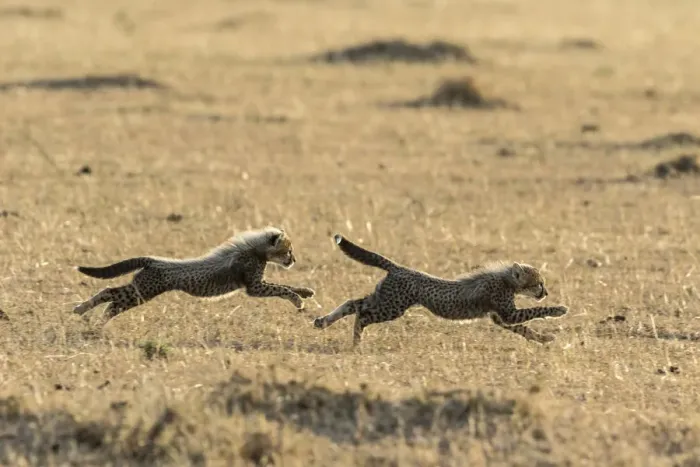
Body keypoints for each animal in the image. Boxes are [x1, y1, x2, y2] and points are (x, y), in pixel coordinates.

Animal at [73, 226, 315, 324]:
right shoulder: (255, 287)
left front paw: (306, 292)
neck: (257, 250)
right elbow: (281, 288)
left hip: (138, 293)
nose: (294, 260)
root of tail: (152, 259)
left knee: (113, 304)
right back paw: (81, 309)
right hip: (141, 291)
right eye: (288, 251)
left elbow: (288, 285)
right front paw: (297, 300)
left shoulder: (259, 283)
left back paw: (98, 325)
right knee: (109, 293)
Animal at [313, 234, 568, 346]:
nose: (545, 292)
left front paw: (543, 338)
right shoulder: (507, 312)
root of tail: (398, 267)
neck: (505, 279)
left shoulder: (500, 317)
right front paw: (558, 310)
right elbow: (534, 313)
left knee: (354, 303)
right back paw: (356, 340)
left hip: (384, 299)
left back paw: (323, 322)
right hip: (392, 307)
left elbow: (523, 329)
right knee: (362, 314)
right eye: (539, 284)